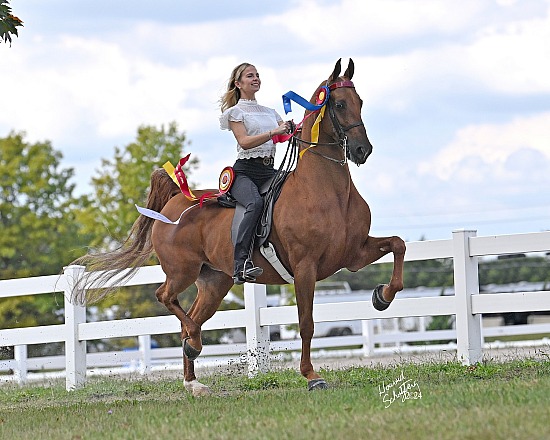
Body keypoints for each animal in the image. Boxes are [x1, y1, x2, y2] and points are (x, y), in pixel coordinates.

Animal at [71, 57, 408, 396]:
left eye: (360, 102)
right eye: (339, 104)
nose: (363, 150)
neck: (328, 191)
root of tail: (177, 200)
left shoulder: (352, 255)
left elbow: (398, 244)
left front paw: (382, 296)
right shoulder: (305, 266)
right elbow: (306, 323)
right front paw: (312, 375)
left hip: (213, 282)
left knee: (190, 318)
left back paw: (193, 379)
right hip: (182, 271)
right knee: (165, 298)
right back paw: (193, 347)